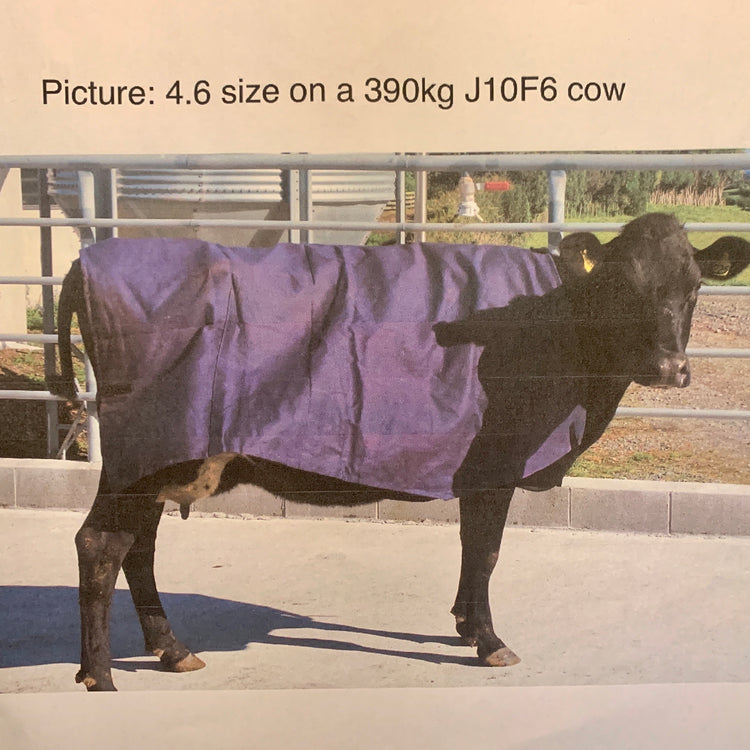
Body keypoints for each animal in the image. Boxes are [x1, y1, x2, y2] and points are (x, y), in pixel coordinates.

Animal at [50, 213, 750, 691]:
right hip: (143, 458)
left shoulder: (475, 470)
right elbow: (487, 550)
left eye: (693, 286)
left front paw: (465, 623)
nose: (670, 369)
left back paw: (170, 650)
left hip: (157, 462)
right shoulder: (495, 463)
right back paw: (100, 676)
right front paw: (489, 640)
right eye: (622, 284)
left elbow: (472, 550)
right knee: (100, 546)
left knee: (136, 548)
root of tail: (89, 261)